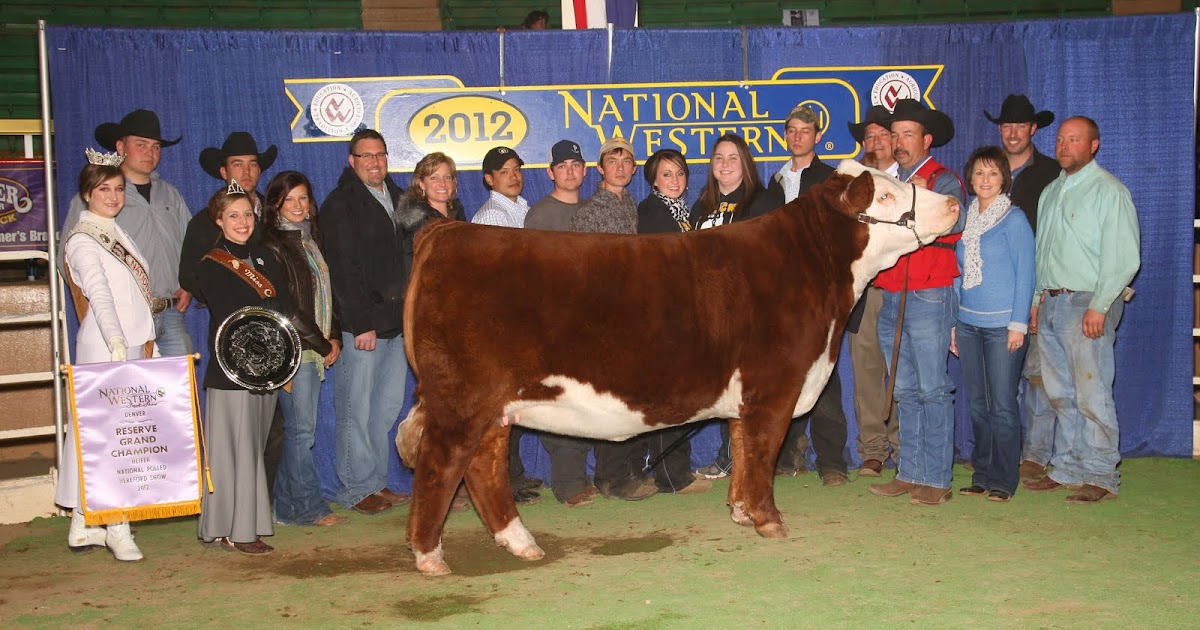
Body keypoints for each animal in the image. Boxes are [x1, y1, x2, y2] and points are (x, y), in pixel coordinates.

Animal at [396, 161, 959, 576]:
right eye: (883, 197)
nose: (953, 202)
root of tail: (448, 231)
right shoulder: (774, 387)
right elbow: (763, 453)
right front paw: (769, 520)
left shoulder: (749, 396)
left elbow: (742, 448)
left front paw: (739, 511)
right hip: (462, 397)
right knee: (441, 463)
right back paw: (429, 556)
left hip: (493, 406)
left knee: (483, 466)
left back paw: (520, 543)